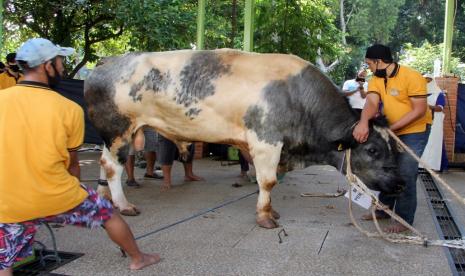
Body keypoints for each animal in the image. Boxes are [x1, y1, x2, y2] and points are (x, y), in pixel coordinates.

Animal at [85, 49, 404, 229]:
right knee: (113, 166)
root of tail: (109, 60)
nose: (400, 183)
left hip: (117, 134)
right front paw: (264, 216)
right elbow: (268, 181)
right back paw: (124, 205)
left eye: (394, 148)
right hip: (118, 130)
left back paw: (105, 200)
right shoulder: (266, 141)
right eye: (373, 150)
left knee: (104, 163)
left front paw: (271, 210)